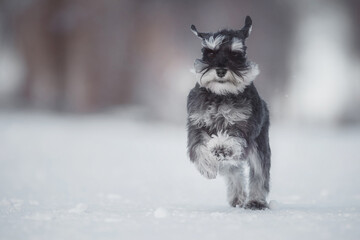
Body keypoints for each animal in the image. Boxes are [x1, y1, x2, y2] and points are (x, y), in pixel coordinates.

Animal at [187, 15, 272, 209]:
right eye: (210, 53)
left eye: (236, 54)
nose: (220, 70)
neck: (221, 95)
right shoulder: (196, 125)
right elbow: (198, 148)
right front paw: (207, 167)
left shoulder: (243, 126)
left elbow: (232, 138)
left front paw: (222, 146)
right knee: (234, 171)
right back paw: (237, 196)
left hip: (259, 148)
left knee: (259, 174)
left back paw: (256, 201)